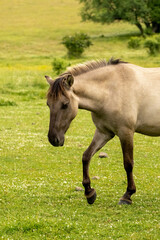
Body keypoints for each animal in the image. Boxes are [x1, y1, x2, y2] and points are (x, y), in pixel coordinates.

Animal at [45, 58, 160, 204]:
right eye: (48, 104)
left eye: (65, 104)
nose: (54, 139)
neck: (111, 91)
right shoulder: (103, 133)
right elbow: (86, 156)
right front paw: (89, 192)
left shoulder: (125, 132)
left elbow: (128, 163)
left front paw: (127, 195)